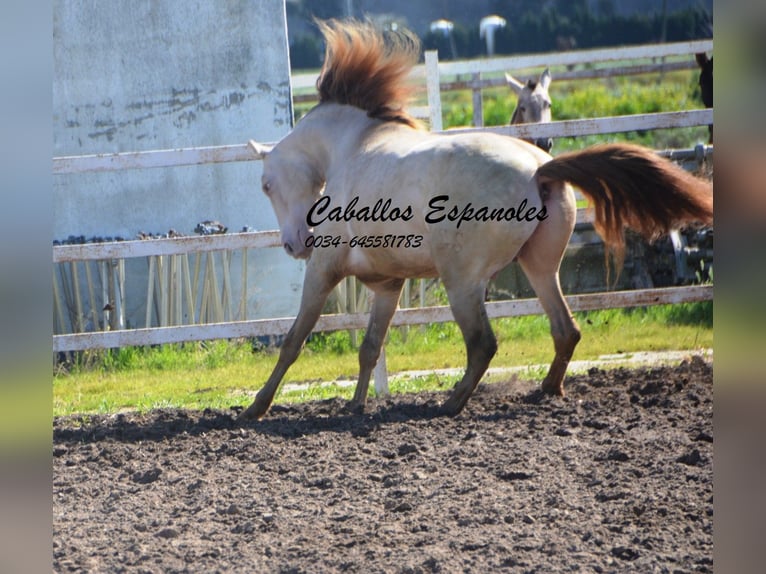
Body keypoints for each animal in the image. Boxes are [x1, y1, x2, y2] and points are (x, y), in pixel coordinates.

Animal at [240, 19, 712, 424]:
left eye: (265, 185)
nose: (296, 244)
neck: (352, 148)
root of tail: (540, 169)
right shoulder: (389, 285)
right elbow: (370, 347)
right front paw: (355, 406)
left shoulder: (323, 270)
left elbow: (293, 342)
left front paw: (256, 407)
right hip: (540, 267)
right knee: (565, 330)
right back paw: (546, 389)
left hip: (462, 281)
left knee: (484, 343)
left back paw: (451, 403)